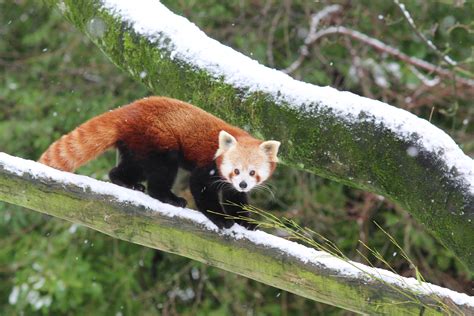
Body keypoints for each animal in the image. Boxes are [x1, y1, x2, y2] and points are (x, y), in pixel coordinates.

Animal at [39, 97, 282, 230]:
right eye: (236, 170)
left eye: (252, 173)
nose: (242, 183)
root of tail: (128, 110)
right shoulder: (208, 165)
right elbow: (201, 188)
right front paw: (220, 219)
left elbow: (235, 200)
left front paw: (246, 222)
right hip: (158, 138)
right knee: (162, 172)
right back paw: (168, 197)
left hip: (136, 145)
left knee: (127, 167)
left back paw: (125, 181)